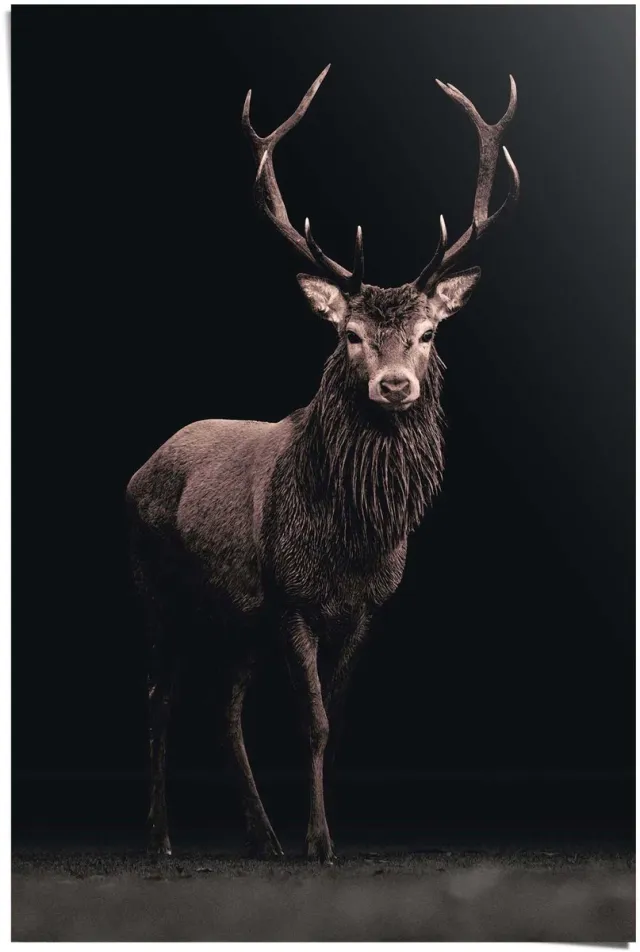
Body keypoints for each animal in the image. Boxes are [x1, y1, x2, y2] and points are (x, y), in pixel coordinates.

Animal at [126, 64, 520, 864]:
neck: (350, 541)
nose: (394, 386)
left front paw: (316, 831)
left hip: (238, 610)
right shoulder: (292, 596)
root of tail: (138, 471)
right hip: (157, 582)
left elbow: (333, 725)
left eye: (428, 333)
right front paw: (320, 841)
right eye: (351, 334)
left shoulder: (364, 608)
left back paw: (262, 835)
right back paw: (162, 837)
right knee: (161, 694)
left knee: (224, 701)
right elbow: (310, 719)